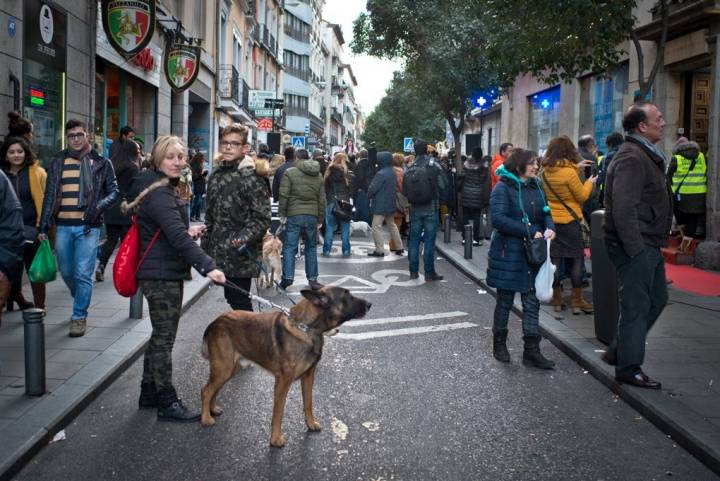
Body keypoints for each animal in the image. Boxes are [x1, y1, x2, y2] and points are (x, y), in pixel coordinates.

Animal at [201, 284, 372, 446]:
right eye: (347, 296)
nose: (370, 304)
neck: (307, 328)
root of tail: (215, 322)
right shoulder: (282, 382)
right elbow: (278, 412)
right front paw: (275, 439)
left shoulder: (308, 377)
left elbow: (308, 403)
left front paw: (310, 423)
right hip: (224, 368)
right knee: (206, 390)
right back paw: (205, 418)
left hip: (229, 369)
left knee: (214, 389)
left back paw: (212, 409)